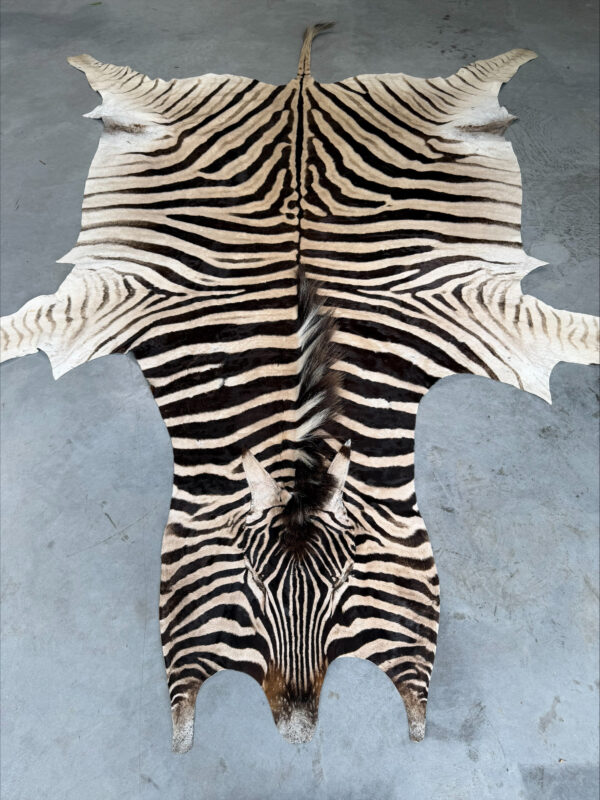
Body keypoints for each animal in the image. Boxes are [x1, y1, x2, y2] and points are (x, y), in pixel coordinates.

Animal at [1, 23, 598, 752]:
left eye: (346, 589)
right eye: (249, 591)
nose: (297, 731)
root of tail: (302, 92)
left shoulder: (473, 307)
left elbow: (564, 331)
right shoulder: (122, 298)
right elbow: (36, 322)